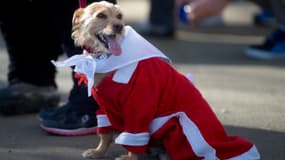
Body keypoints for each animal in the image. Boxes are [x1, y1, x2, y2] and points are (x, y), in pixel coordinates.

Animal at [70, 1, 258, 160]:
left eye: (119, 16)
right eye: (101, 15)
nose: (119, 26)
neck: (106, 60)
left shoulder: (138, 109)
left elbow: (134, 138)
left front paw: (130, 157)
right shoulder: (104, 108)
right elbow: (105, 134)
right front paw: (98, 151)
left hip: (177, 126)